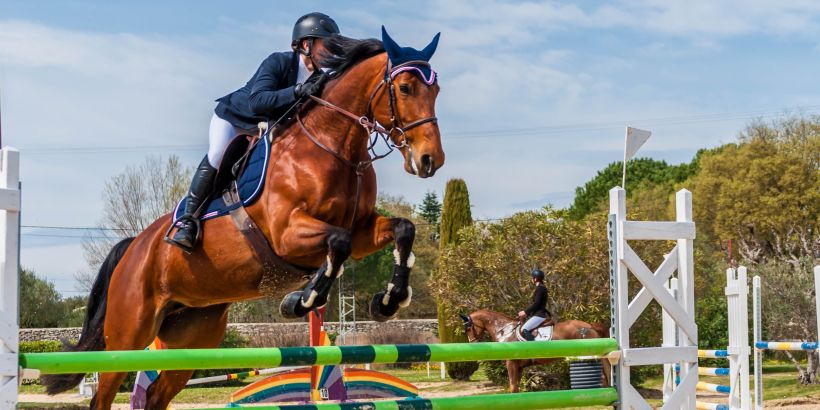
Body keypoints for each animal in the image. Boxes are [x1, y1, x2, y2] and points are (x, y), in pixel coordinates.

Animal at [41, 27, 446, 408]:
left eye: (436, 90)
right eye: (405, 88)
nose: (431, 160)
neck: (333, 145)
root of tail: (134, 246)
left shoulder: (361, 229)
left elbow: (402, 229)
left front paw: (389, 300)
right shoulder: (288, 234)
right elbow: (338, 243)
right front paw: (301, 300)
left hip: (193, 336)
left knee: (157, 395)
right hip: (129, 332)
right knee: (103, 394)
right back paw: (184, 232)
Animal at [462, 310, 608, 392]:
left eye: (468, 328)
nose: (473, 343)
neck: (506, 332)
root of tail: (590, 325)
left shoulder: (511, 364)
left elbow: (513, 388)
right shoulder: (519, 367)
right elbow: (516, 388)